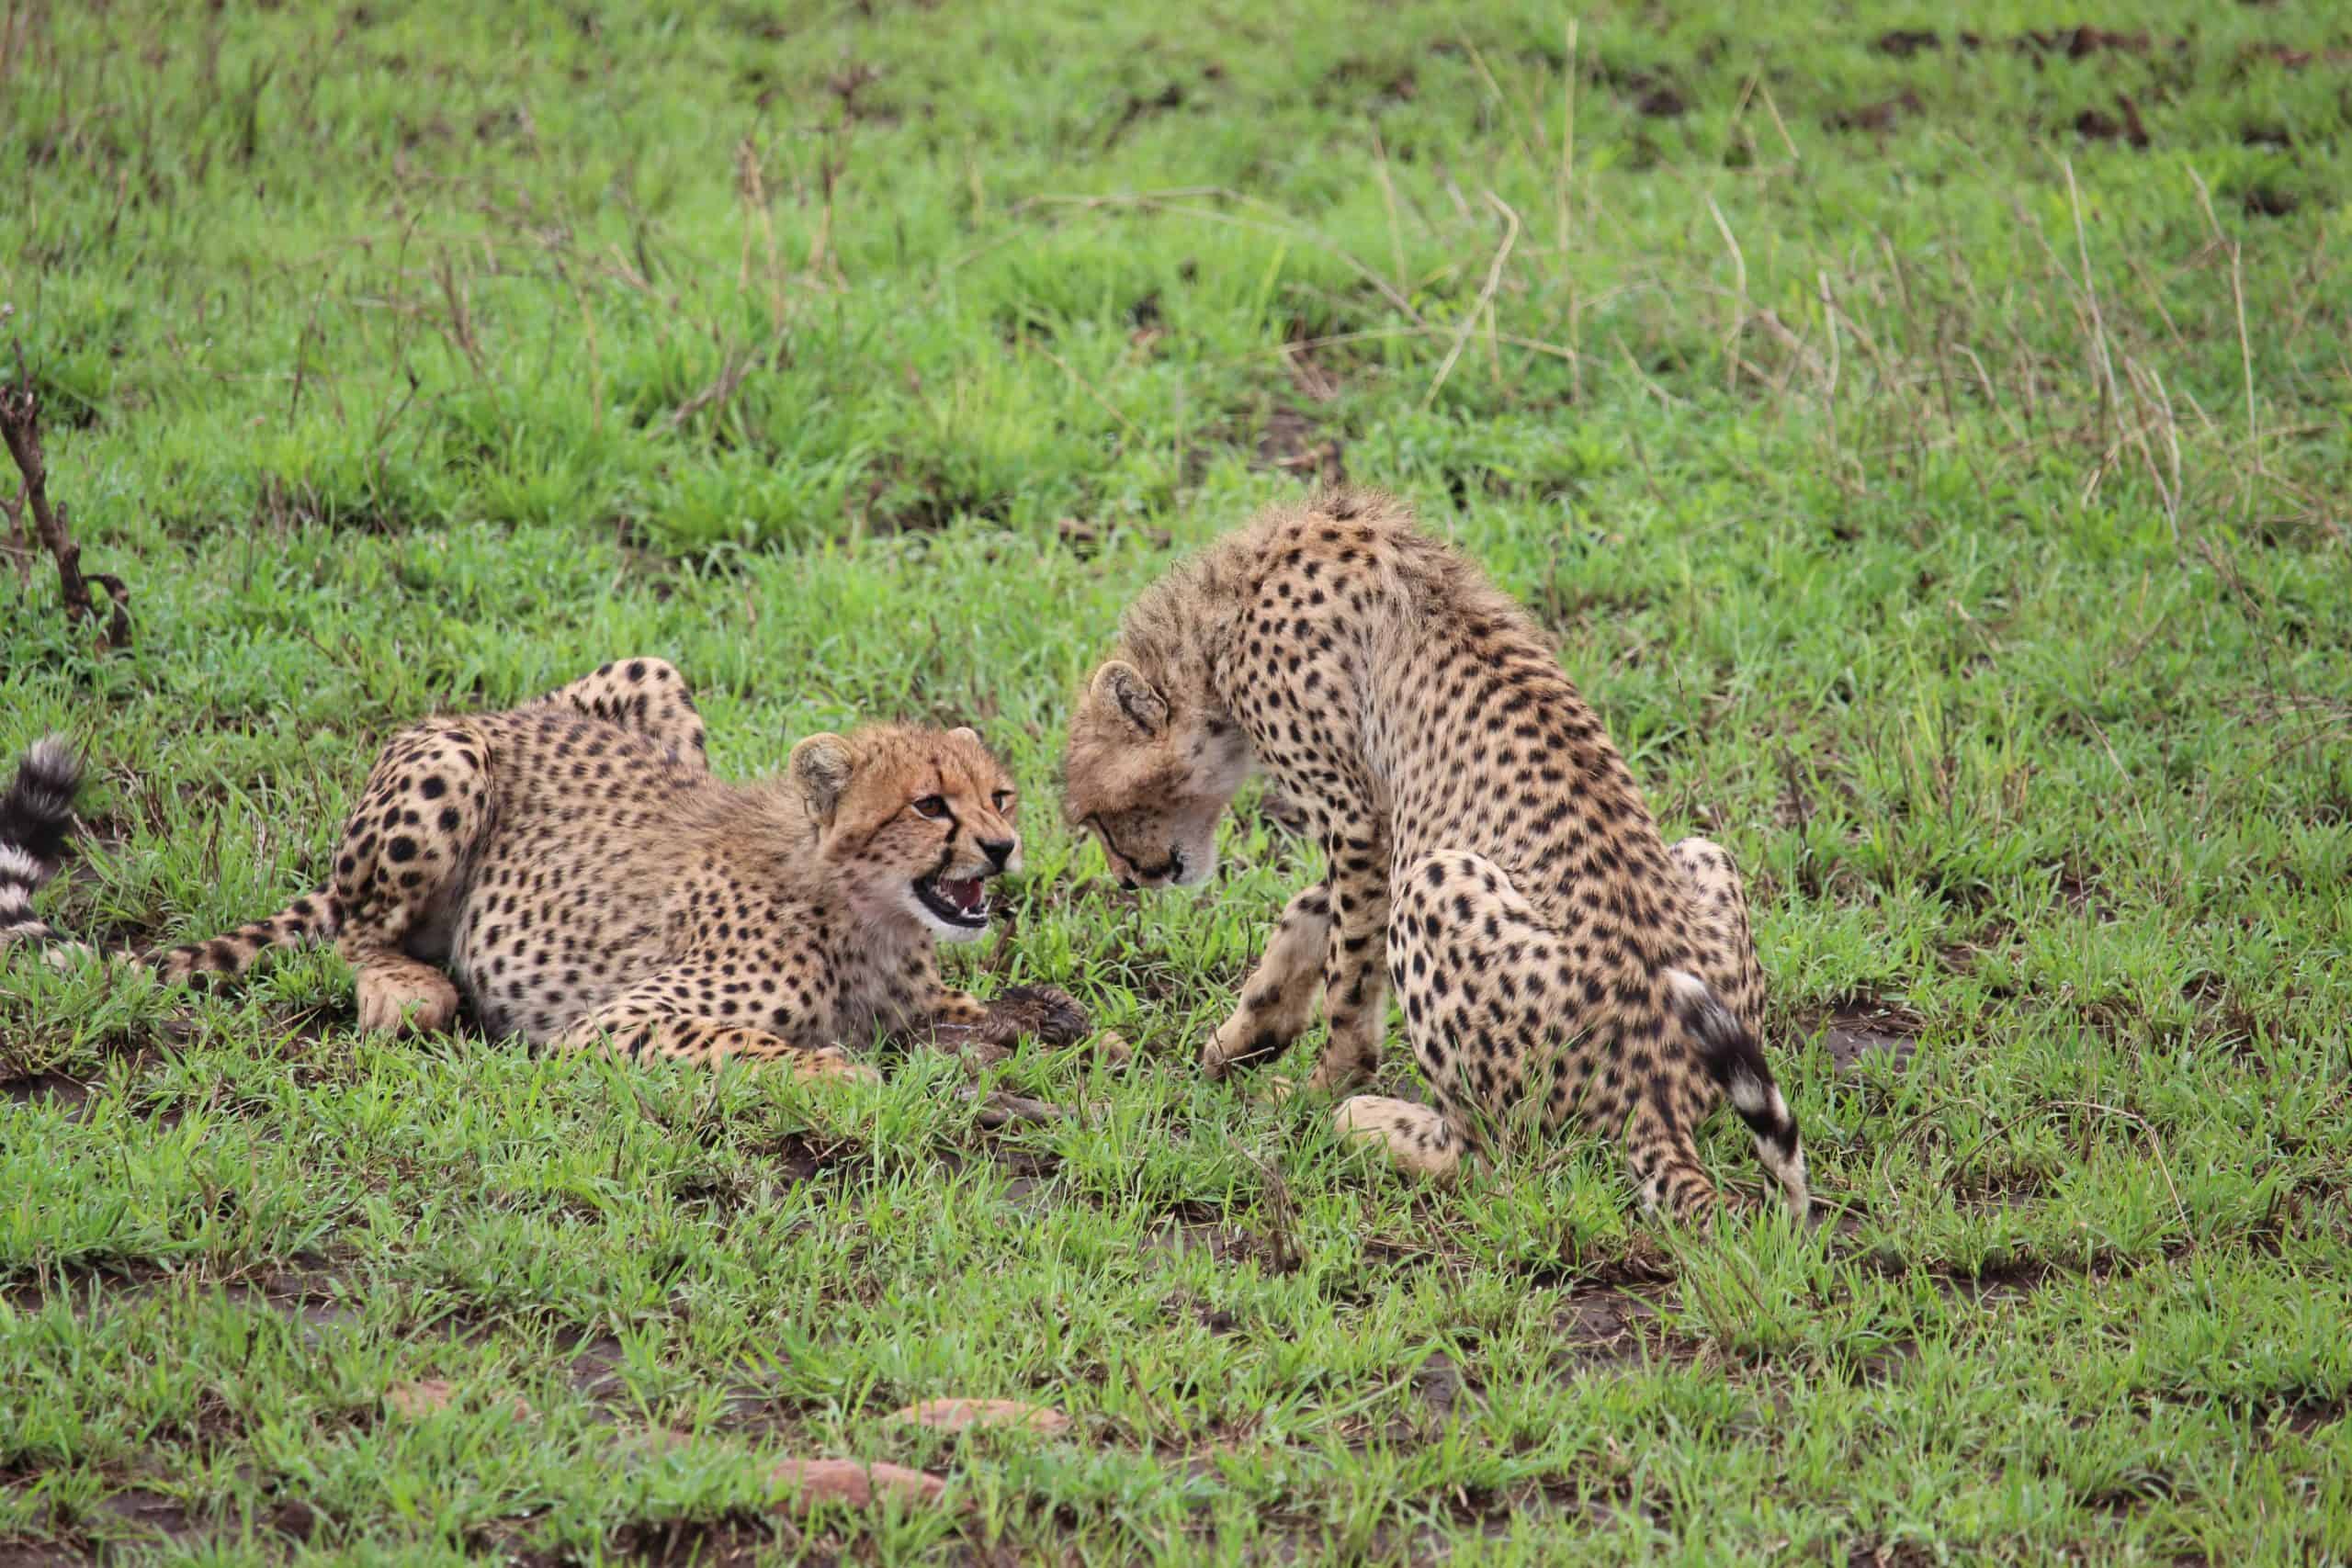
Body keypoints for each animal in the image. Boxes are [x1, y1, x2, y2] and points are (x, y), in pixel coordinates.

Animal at [2, 659, 1087, 1074]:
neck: (864, 911)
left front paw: (1075, 1027)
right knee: (356, 931)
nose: (1002, 848)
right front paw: (833, 1072)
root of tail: (499, 712)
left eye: (1000, 796)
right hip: (447, 767)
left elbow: (1008, 1016)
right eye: (929, 805)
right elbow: (756, 1045)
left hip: (652, 674)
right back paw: (407, 988)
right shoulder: (611, 1023)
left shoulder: (926, 1005)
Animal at [1060, 489, 1808, 1221]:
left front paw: (1318, 1085)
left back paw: (1364, 1120)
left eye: (1098, 816)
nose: (1128, 879)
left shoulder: (1357, 820)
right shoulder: (1382, 826)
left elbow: (1348, 978)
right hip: (1706, 856)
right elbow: (1309, 915)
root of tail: (1662, 1087)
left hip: (1438, 880)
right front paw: (1246, 1034)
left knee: (1493, 1157)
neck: (1233, 601)